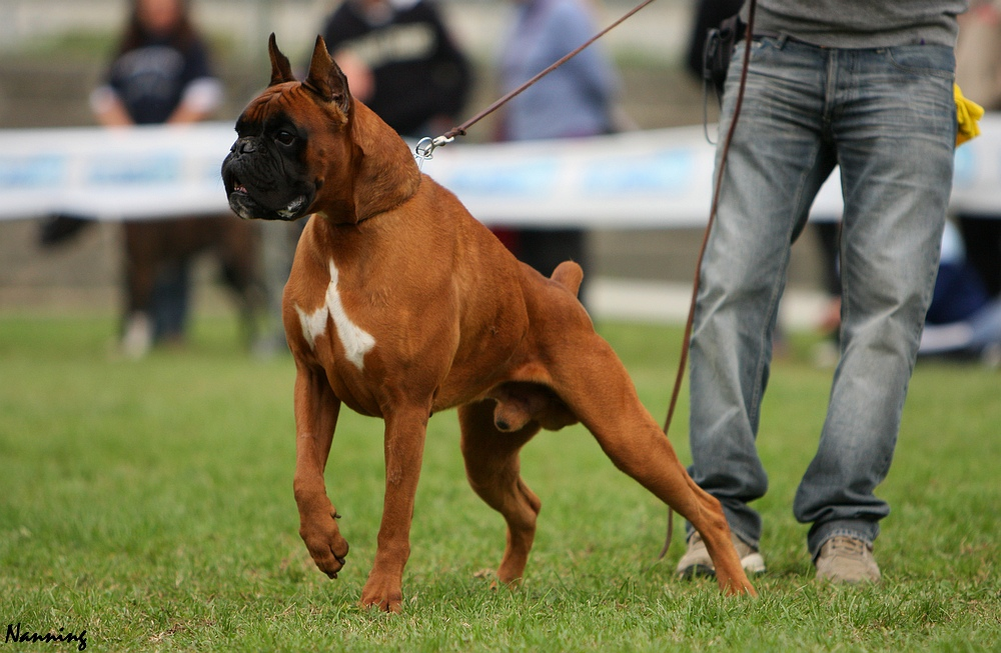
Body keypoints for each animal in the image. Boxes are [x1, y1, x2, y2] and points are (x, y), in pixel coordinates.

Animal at [221, 33, 756, 608]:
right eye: (239, 130)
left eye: (284, 135)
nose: (238, 152)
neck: (353, 226)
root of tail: (562, 292)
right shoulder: (314, 381)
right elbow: (305, 477)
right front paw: (325, 543)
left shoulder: (405, 409)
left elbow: (395, 513)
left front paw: (382, 596)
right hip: (486, 452)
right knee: (527, 508)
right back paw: (505, 583)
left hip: (626, 436)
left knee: (705, 505)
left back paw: (737, 587)